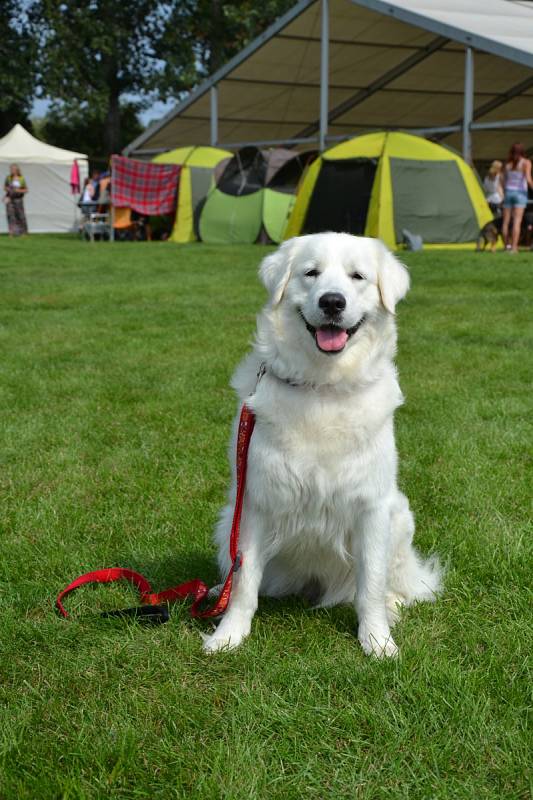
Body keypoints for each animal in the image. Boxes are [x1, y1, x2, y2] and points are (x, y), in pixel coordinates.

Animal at [204, 231, 440, 656]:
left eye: (357, 277)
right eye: (310, 273)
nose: (332, 301)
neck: (324, 386)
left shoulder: (372, 507)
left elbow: (370, 584)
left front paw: (377, 640)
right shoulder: (256, 500)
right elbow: (245, 579)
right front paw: (228, 635)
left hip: (400, 516)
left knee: (398, 583)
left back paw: (394, 604)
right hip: (228, 518)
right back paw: (217, 592)